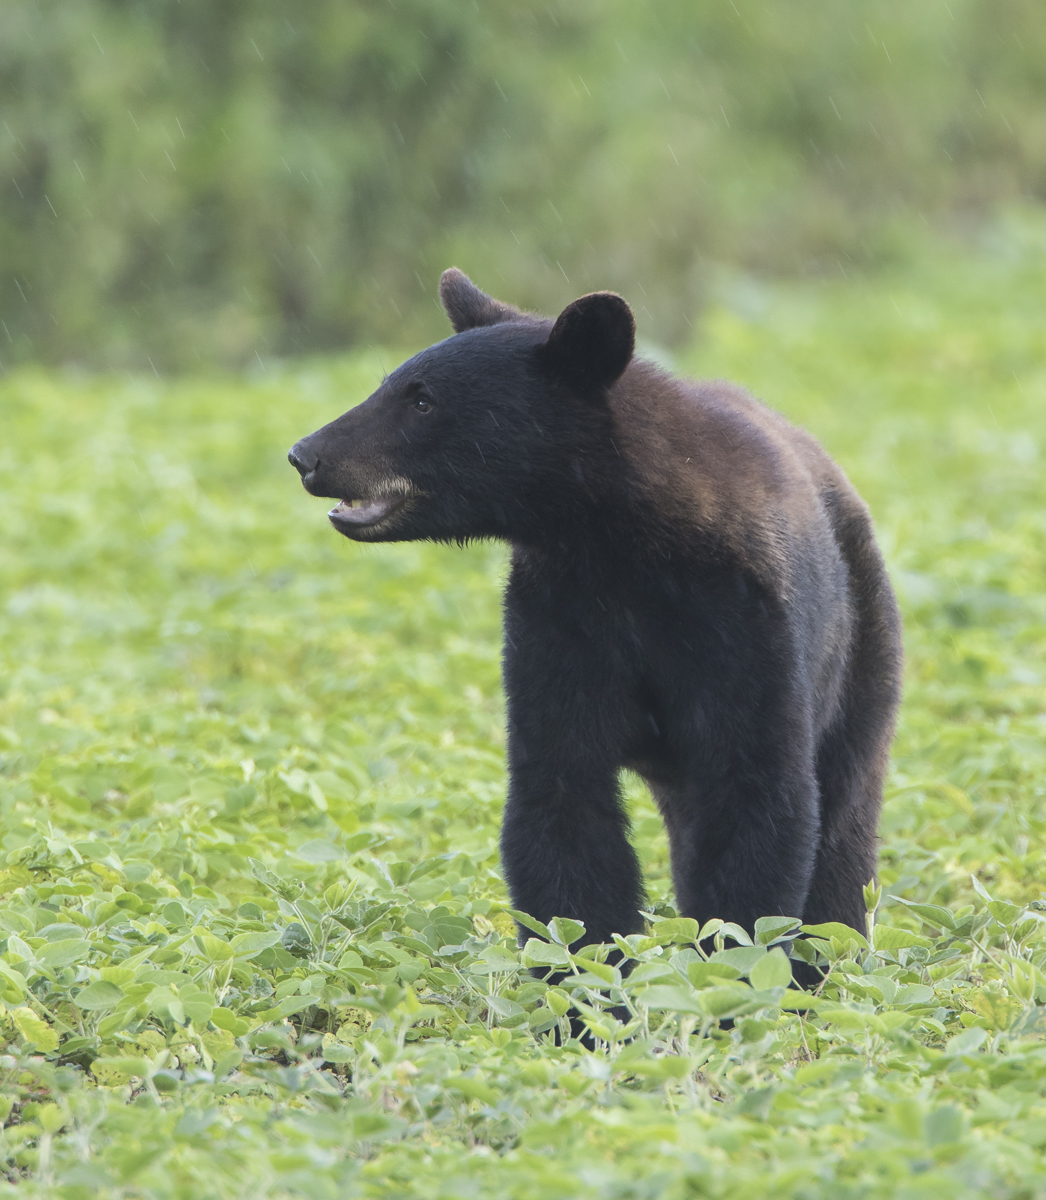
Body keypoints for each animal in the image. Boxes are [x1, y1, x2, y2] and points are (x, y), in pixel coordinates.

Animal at [288, 268, 903, 962]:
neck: (617, 547)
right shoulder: (559, 618)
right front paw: (584, 977)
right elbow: (562, 793)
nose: (305, 454)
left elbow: (758, 791)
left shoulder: (745, 625)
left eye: (421, 401)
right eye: (389, 383)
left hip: (862, 645)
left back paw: (829, 955)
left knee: (845, 808)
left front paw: (735, 967)